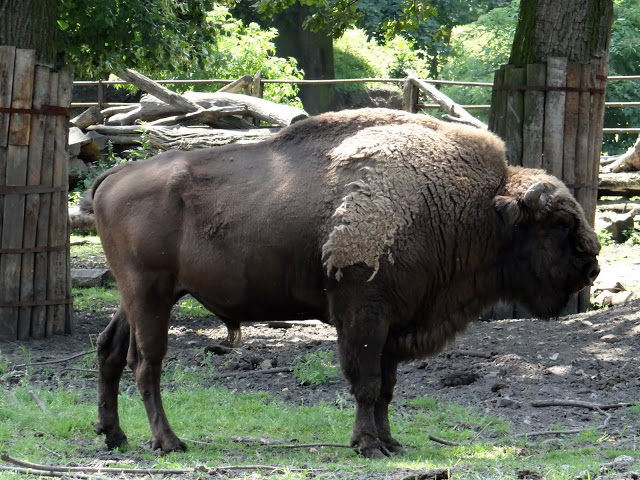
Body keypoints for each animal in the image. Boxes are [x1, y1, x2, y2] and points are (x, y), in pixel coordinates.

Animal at [89, 108, 600, 458]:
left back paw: (115, 436)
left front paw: (391, 443)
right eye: (558, 224)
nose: (592, 265)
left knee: (109, 349)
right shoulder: (363, 315)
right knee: (146, 362)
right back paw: (169, 442)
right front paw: (368, 445)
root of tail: (114, 175)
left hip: (138, 295)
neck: (469, 205)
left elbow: (387, 388)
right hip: (150, 293)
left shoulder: (394, 323)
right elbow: (367, 383)